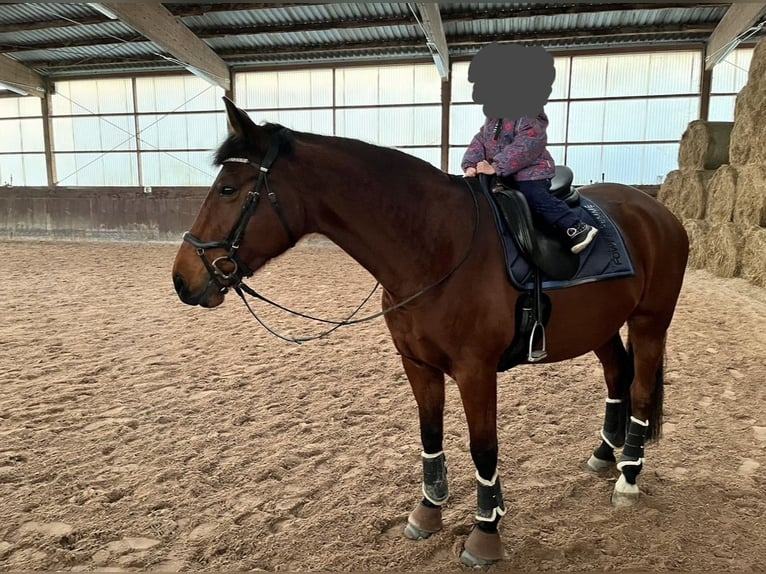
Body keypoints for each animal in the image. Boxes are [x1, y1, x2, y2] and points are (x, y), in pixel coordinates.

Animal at [172, 97, 689, 567]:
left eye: (228, 189)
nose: (182, 279)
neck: (436, 245)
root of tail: (658, 211)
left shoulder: (476, 372)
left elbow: (484, 448)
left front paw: (486, 533)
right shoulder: (418, 364)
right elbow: (430, 434)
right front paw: (429, 510)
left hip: (650, 322)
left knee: (641, 390)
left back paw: (628, 477)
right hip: (601, 328)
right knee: (617, 376)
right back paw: (605, 455)